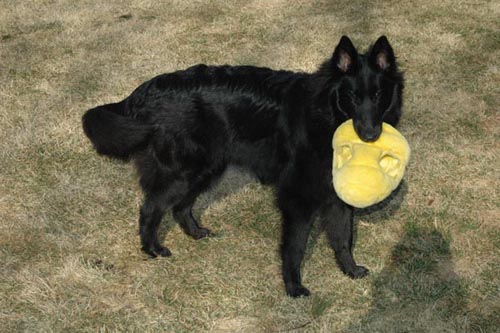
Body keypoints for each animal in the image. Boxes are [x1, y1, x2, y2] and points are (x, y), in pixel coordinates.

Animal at [82, 35, 402, 296]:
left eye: (377, 95)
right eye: (351, 97)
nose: (370, 135)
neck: (324, 114)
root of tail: (145, 91)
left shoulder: (335, 195)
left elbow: (344, 238)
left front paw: (350, 269)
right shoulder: (297, 198)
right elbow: (295, 245)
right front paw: (293, 286)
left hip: (206, 169)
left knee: (180, 206)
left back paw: (195, 233)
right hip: (184, 172)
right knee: (151, 207)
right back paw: (152, 249)